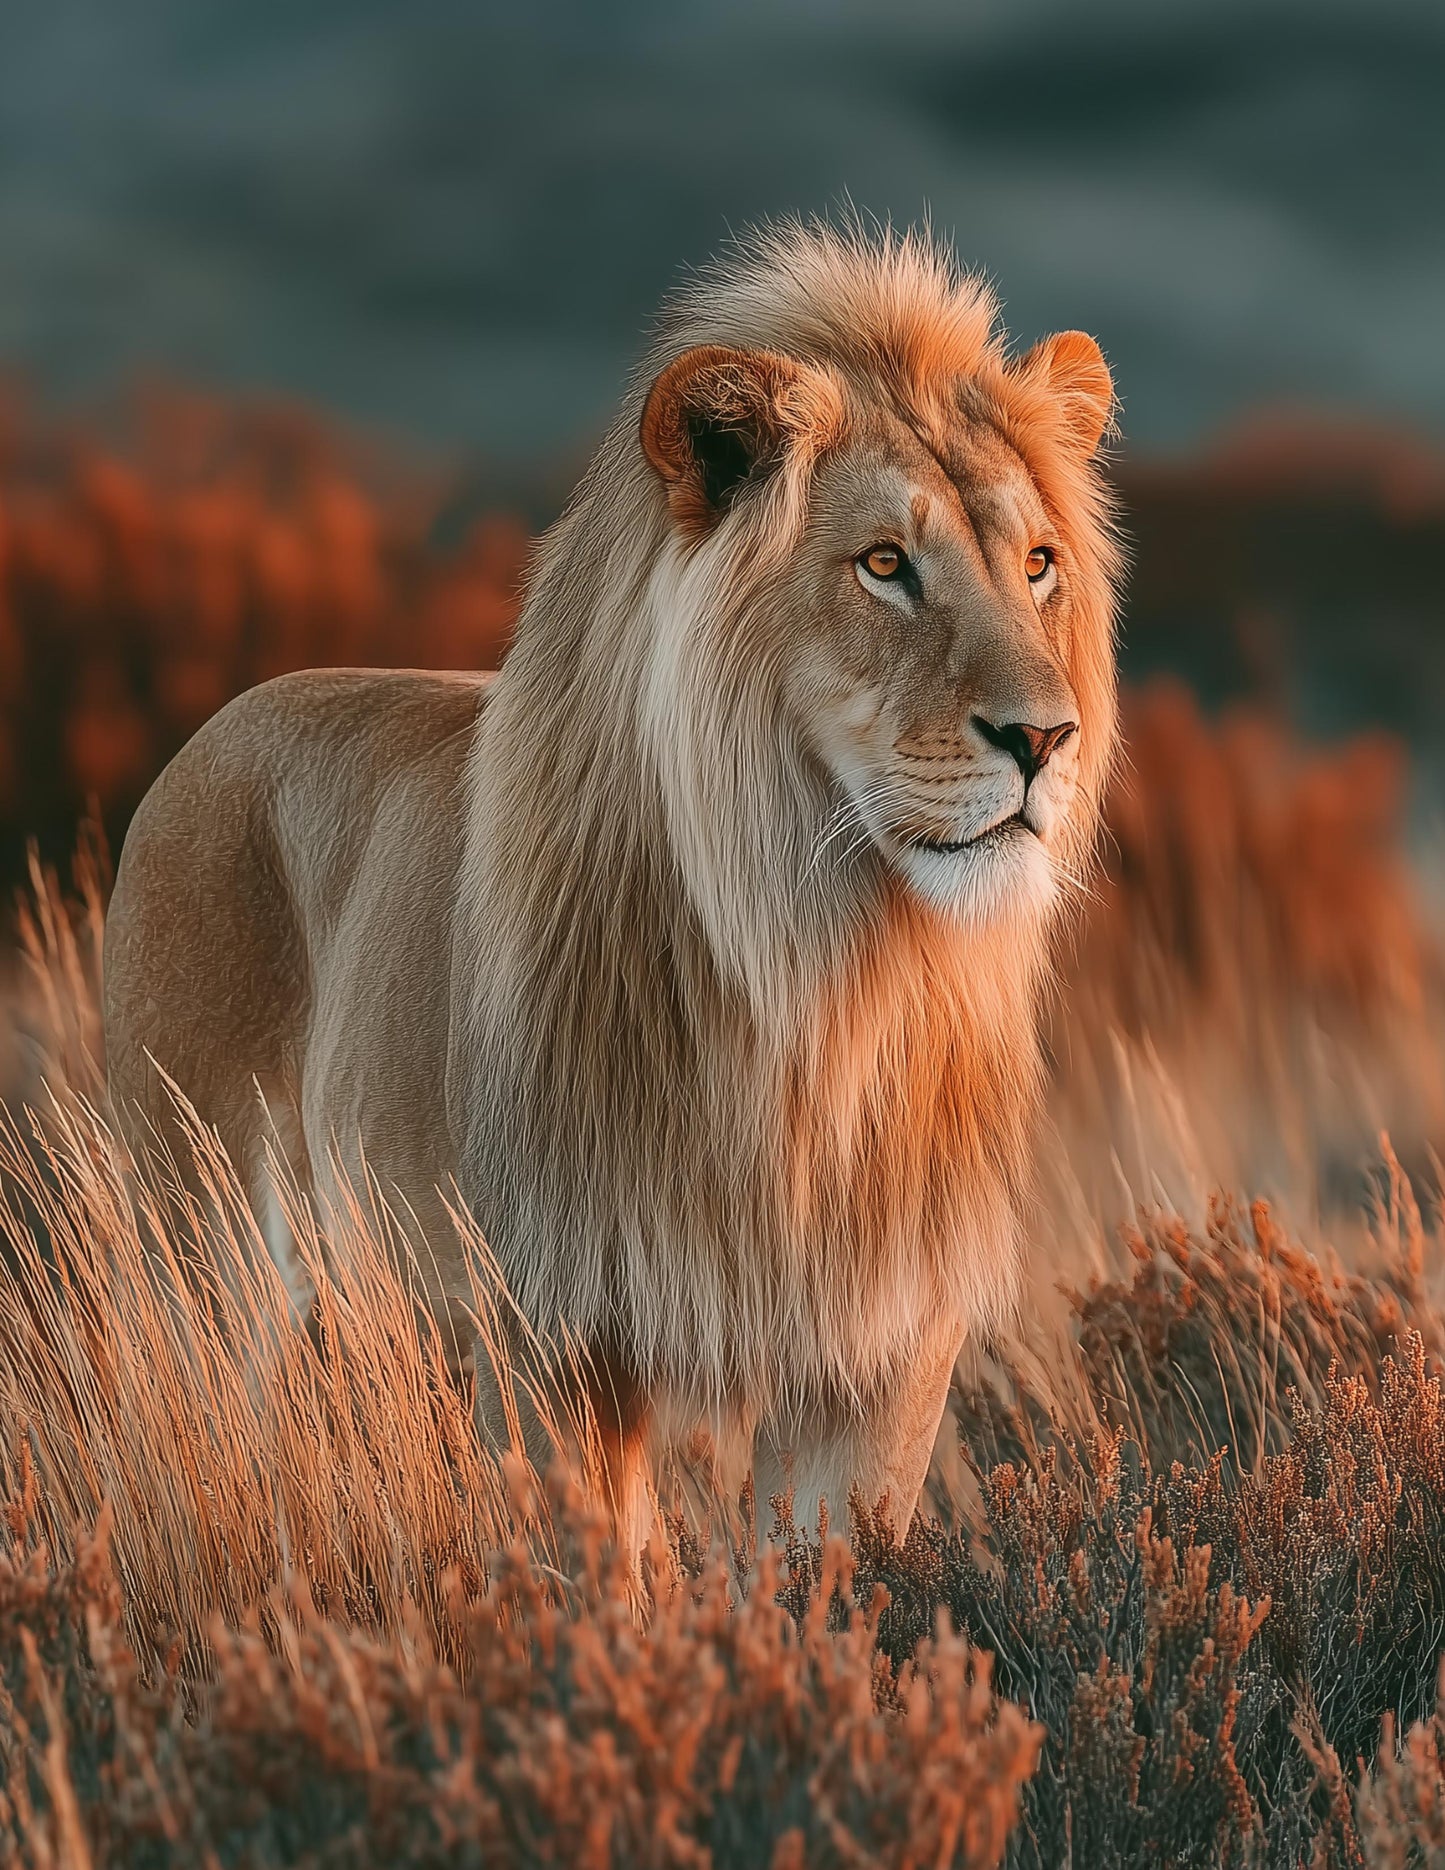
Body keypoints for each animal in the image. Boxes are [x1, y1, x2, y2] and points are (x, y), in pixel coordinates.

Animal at [103, 222, 1121, 1547]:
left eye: (1039, 564)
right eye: (884, 564)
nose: (1043, 738)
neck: (824, 970)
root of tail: (215, 726)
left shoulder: (879, 1353)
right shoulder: (543, 1326)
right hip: (203, 1260)